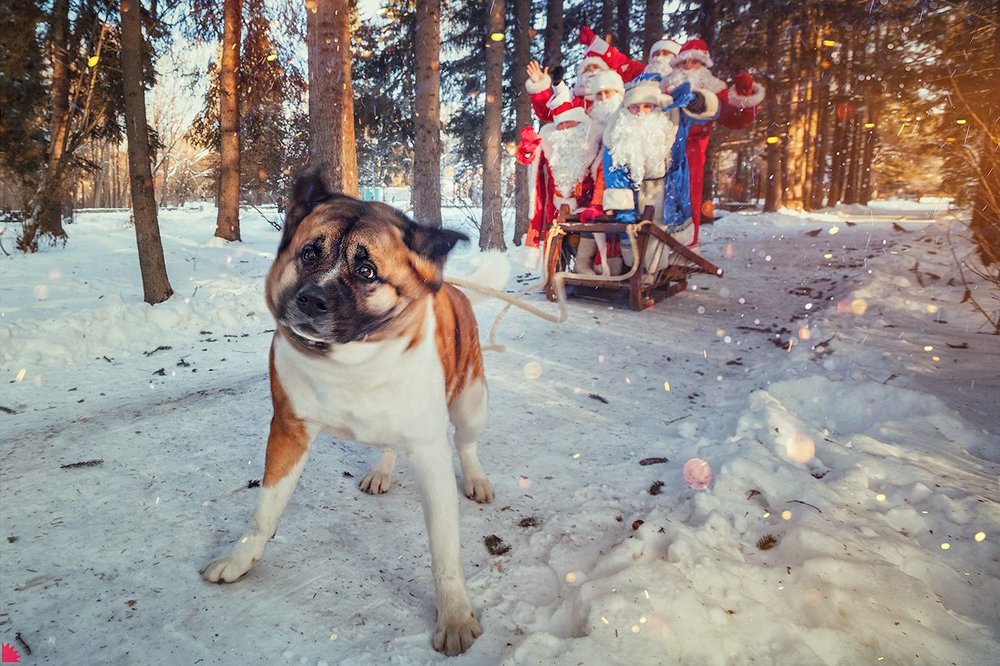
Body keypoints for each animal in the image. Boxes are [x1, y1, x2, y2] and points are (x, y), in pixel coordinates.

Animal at [203, 171, 500, 652]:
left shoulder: (430, 451)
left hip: (471, 402)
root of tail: (450, 286)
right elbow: (265, 510)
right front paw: (240, 558)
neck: (351, 363)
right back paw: (381, 469)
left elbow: (444, 549)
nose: (311, 300)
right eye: (309, 252)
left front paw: (454, 615)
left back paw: (476, 479)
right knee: (388, 445)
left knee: (467, 443)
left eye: (366, 271)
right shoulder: (288, 431)